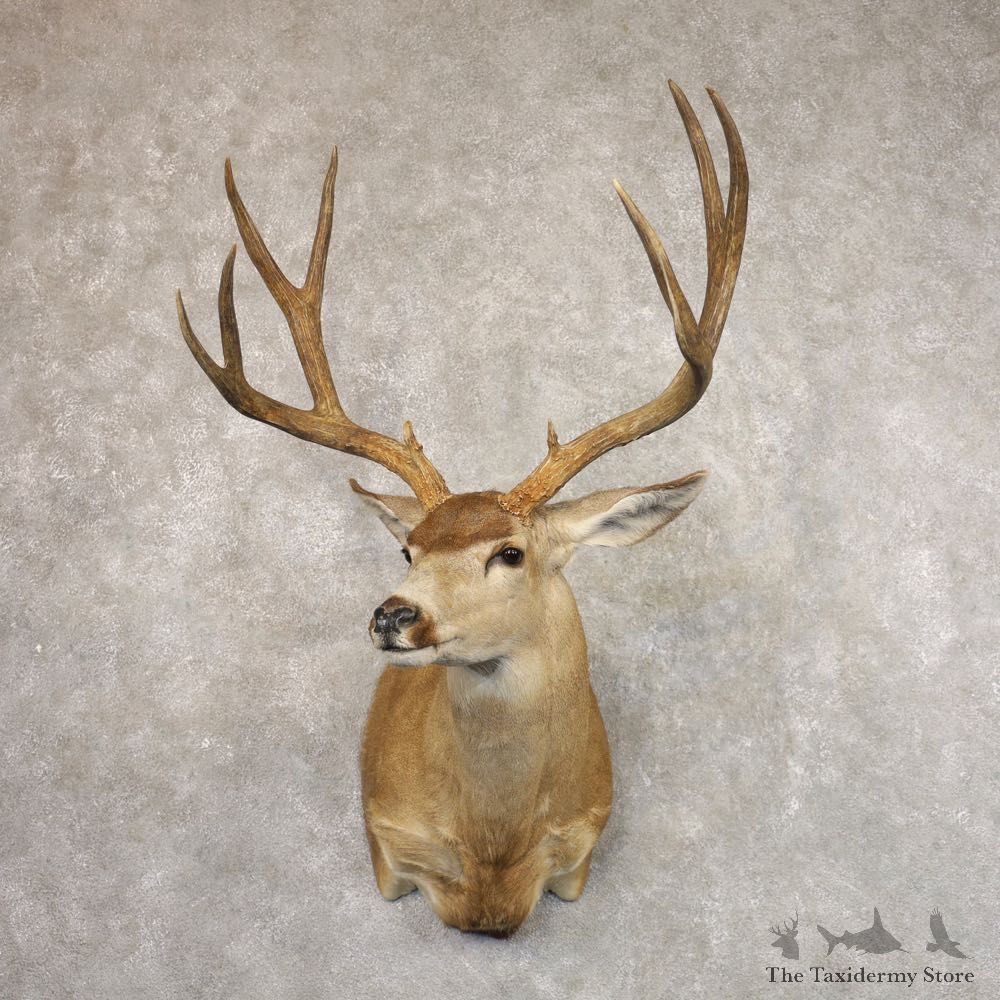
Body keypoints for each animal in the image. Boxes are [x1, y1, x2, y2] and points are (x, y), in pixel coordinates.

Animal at [175, 80, 748, 937]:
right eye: (407, 548)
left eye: (509, 552)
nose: (393, 613)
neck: (493, 853)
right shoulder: (385, 843)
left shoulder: (582, 848)